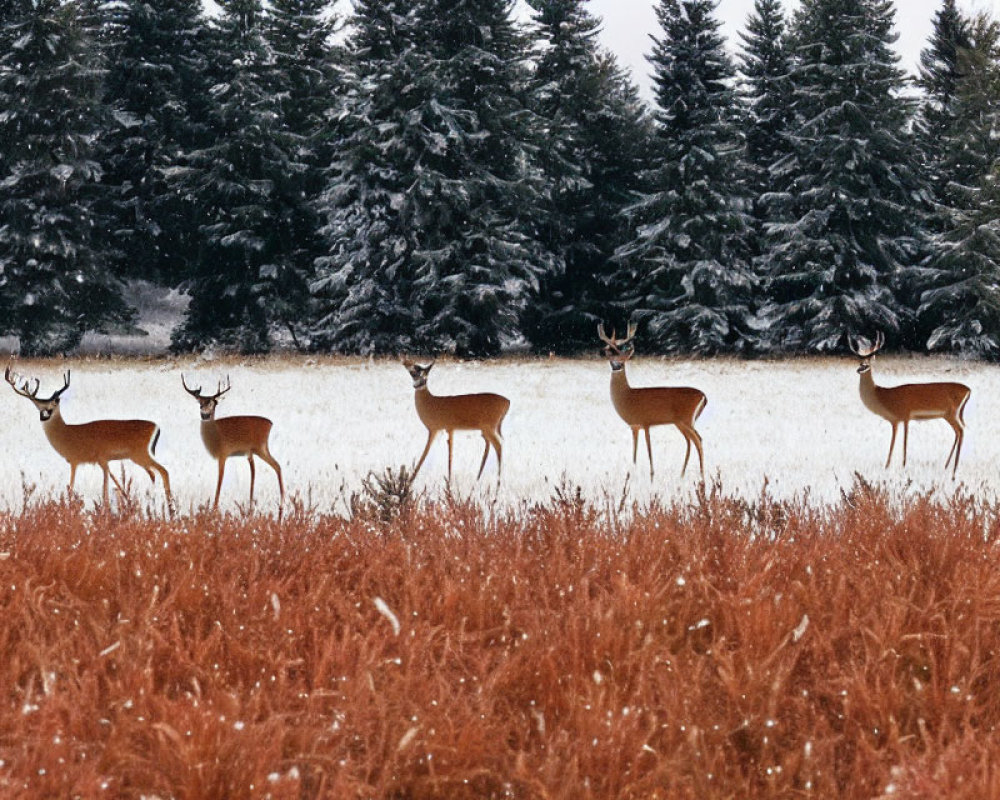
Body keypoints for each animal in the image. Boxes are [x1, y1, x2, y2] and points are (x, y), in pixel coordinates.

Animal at [4, 362, 173, 506]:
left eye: (54, 403)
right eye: (39, 406)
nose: (45, 414)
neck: (67, 434)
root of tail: (156, 426)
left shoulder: (86, 459)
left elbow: (84, 488)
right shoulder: (93, 460)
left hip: (141, 453)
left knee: (163, 471)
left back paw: (170, 506)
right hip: (138, 456)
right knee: (154, 474)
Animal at [178, 376, 282, 512]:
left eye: (214, 403)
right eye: (200, 403)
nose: (205, 415)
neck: (215, 436)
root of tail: (271, 423)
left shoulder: (223, 454)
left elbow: (219, 481)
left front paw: (214, 510)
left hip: (261, 448)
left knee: (276, 466)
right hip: (255, 451)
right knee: (267, 469)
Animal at [596, 322, 708, 478]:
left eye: (622, 358)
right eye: (611, 355)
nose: (617, 366)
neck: (627, 396)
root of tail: (703, 396)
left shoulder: (646, 422)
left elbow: (649, 451)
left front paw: (652, 475)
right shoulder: (634, 426)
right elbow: (634, 453)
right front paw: (632, 472)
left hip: (686, 419)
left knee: (698, 439)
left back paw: (702, 475)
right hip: (681, 422)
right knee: (690, 441)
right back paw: (682, 474)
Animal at [848, 330, 972, 476]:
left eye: (868, 362)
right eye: (860, 361)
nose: (860, 369)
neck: (884, 397)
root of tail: (968, 390)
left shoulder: (904, 416)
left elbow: (902, 442)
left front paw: (899, 466)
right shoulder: (897, 420)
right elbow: (896, 441)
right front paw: (890, 466)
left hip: (951, 413)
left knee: (961, 431)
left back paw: (954, 470)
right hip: (951, 415)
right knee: (958, 432)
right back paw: (947, 466)